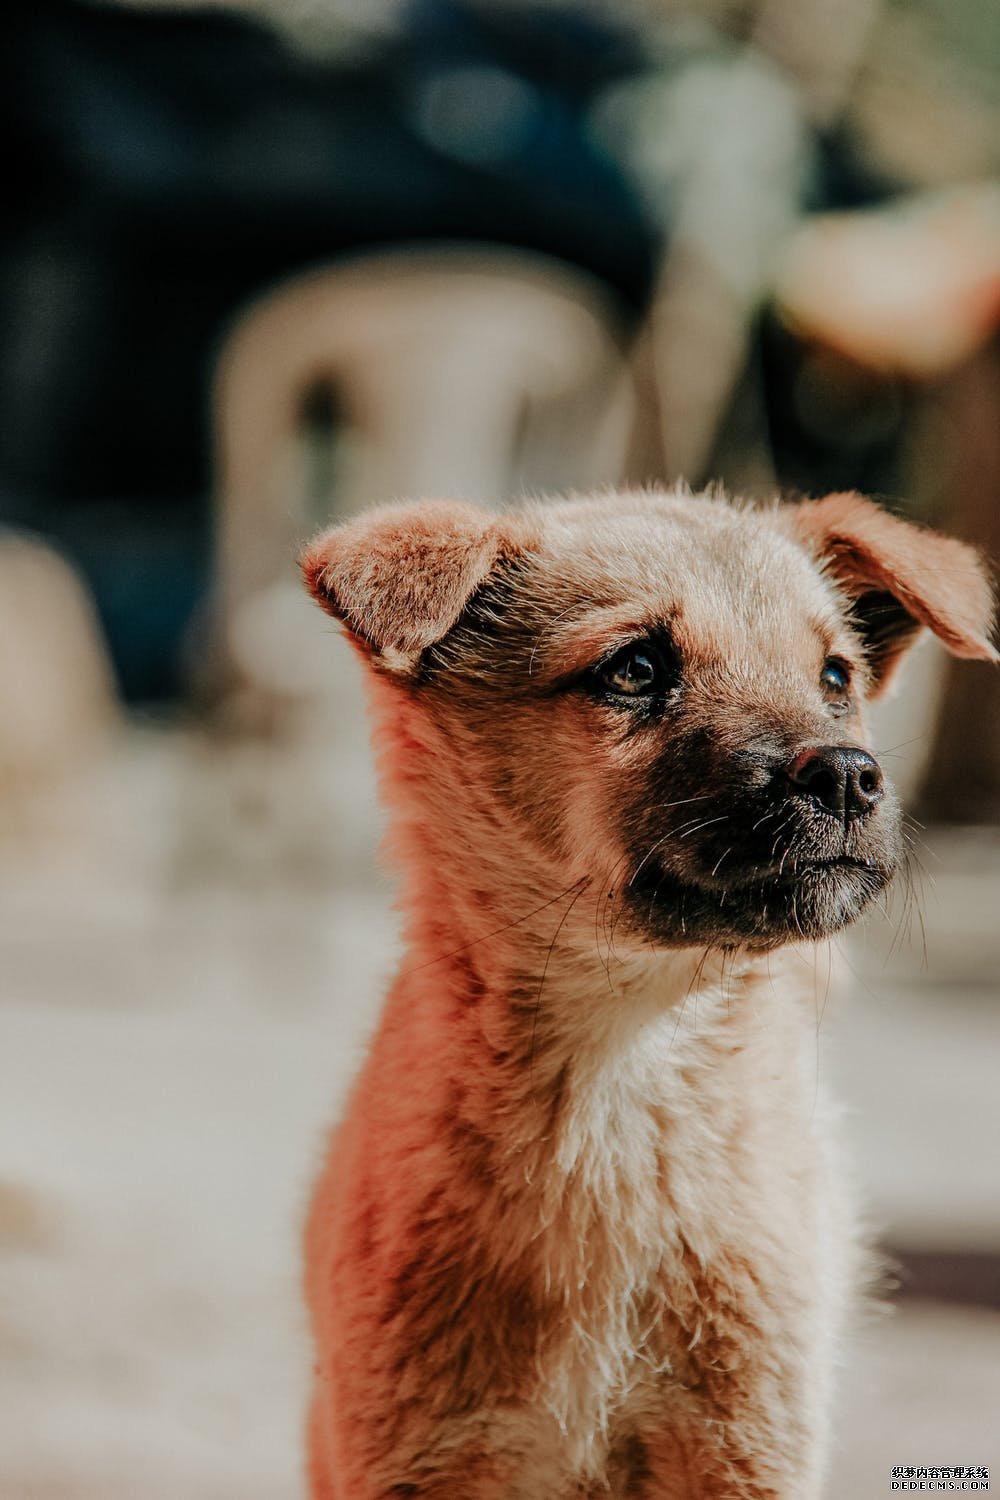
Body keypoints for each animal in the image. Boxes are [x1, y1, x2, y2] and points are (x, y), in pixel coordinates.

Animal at [301, 486, 995, 1494]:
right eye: (635, 669)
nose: (848, 776)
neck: (626, 1070)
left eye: (836, 677)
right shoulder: (420, 1451)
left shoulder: (745, 1445)